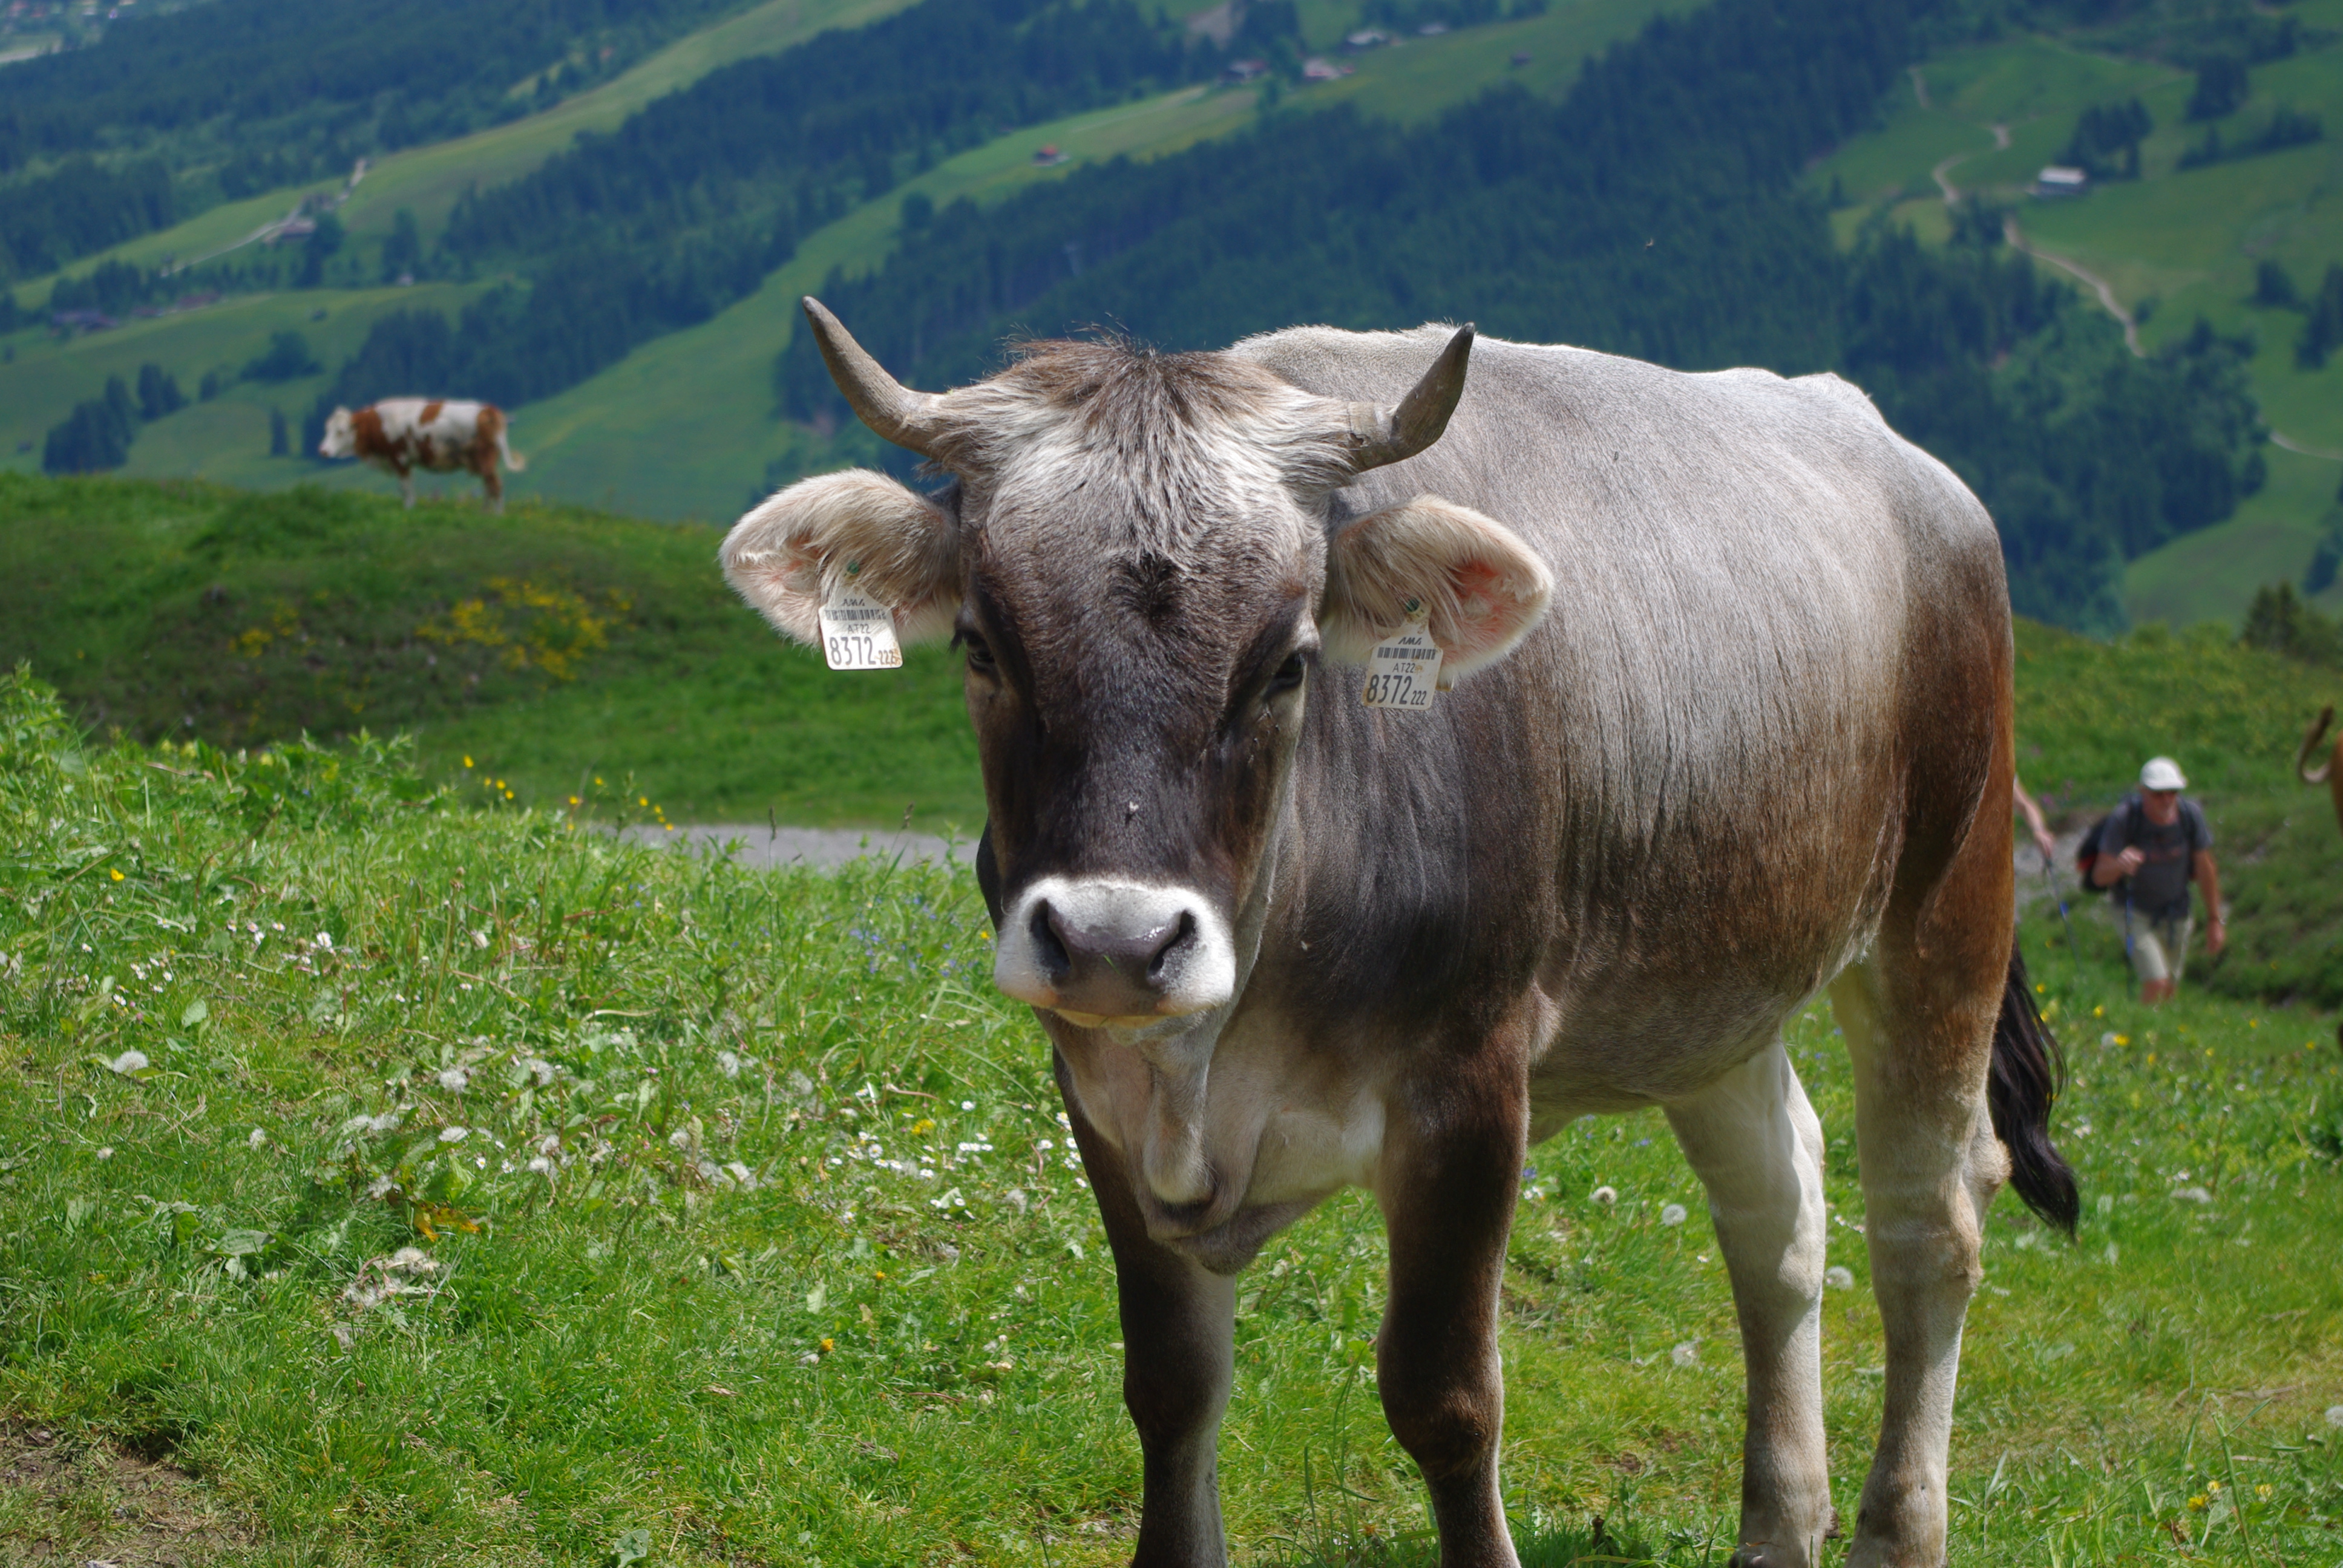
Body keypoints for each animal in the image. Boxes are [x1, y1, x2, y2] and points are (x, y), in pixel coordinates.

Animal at [316, 393, 522, 511]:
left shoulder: (399, 458)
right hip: (482, 460)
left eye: (340, 431)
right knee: (489, 485)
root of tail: (487, 409)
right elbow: (407, 488)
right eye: (327, 429)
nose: (323, 451)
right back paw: (484, 513)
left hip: (485, 456)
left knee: (495, 485)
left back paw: (497, 516)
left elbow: (405, 488)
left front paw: (408, 510)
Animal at [716, 296, 2071, 1566]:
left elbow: (1445, 1400)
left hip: (1947, 901)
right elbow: (1169, 1387)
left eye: (1286, 662)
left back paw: (1896, 1530)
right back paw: (1779, 1525)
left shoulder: (1465, 1092)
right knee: (1778, 1212)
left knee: (1928, 1222)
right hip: (1714, 987)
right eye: (983, 647)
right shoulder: (1097, 1091)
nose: (1113, 941)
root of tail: (1895, 451)